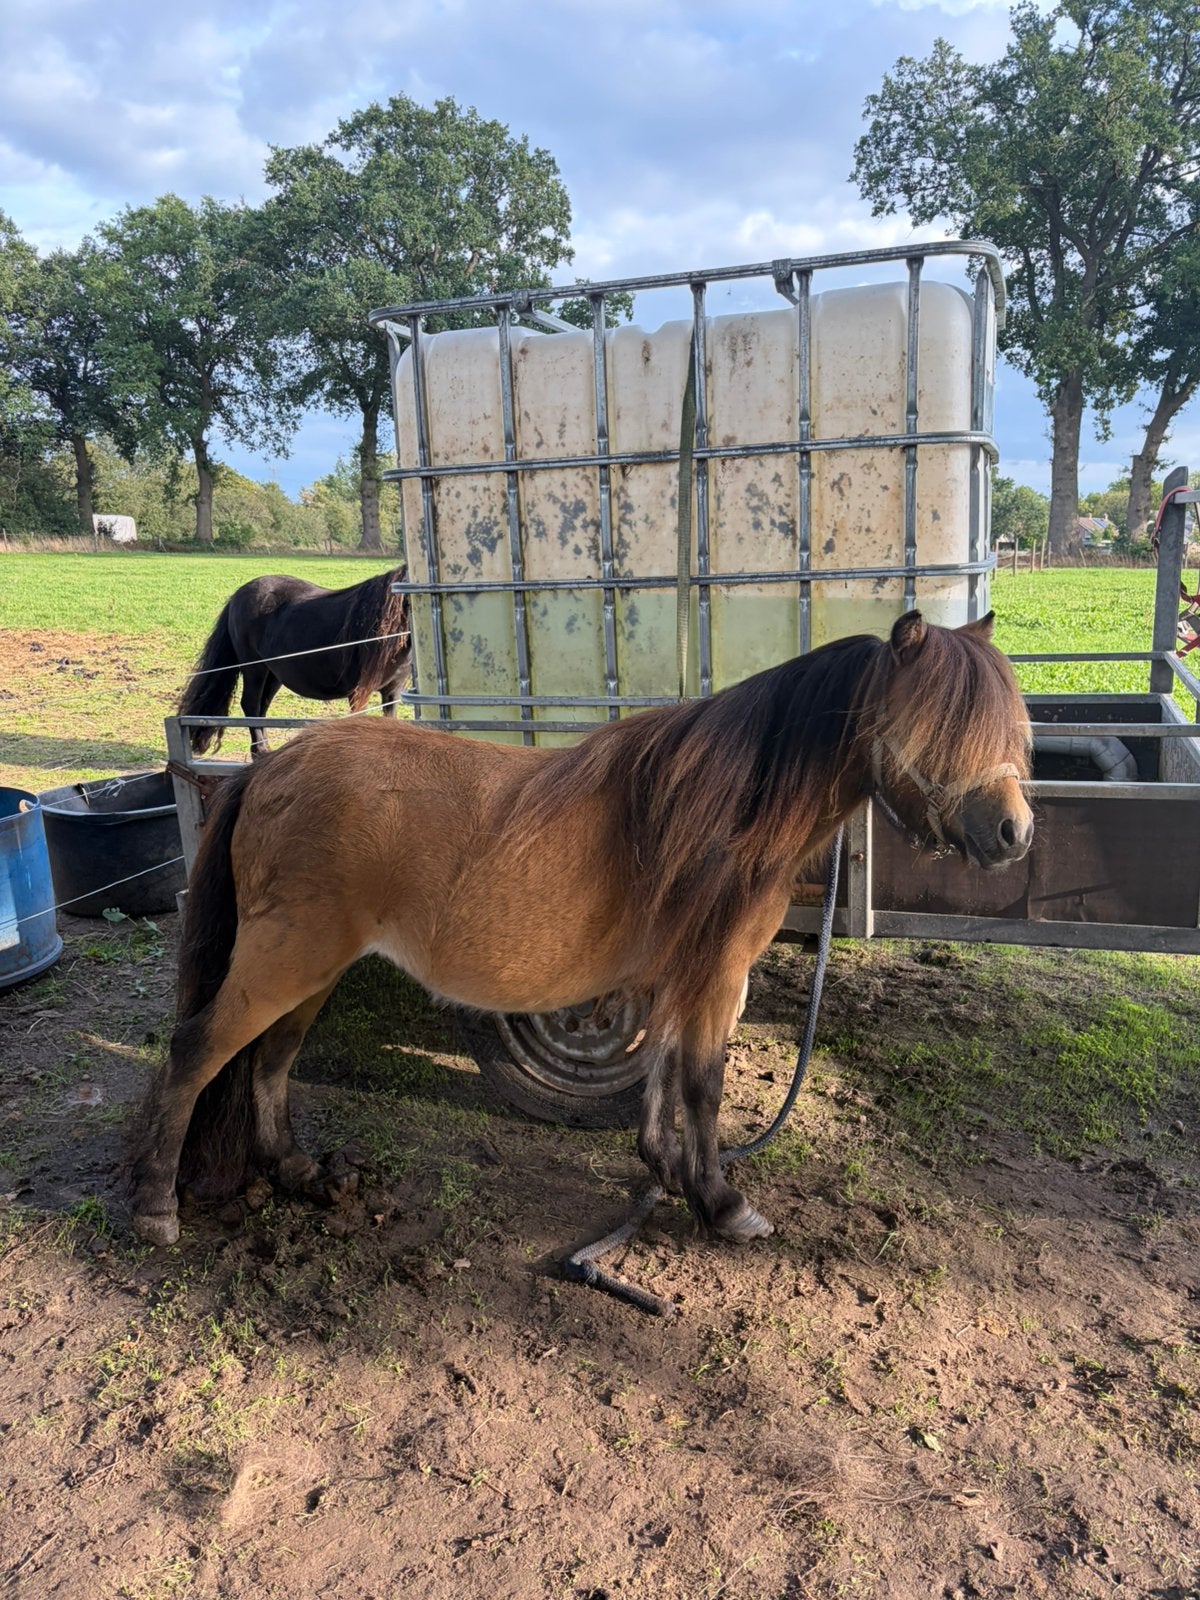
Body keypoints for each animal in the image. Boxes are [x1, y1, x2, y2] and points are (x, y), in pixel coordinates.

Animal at [131, 610, 1033, 1249]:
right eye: (942, 728)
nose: (1015, 834)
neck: (723, 812)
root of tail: (268, 770)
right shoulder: (715, 974)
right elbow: (703, 1084)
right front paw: (721, 1201)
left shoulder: (679, 972)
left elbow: (664, 1072)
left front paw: (665, 1172)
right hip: (284, 959)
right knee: (198, 1051)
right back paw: (155, 1208)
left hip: (312, 971)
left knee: (270, 1060)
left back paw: (297, 1173)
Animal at [178, 565, 412, 755]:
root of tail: (238, 595)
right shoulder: (358, 692)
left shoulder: (391, 692)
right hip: (255, 669)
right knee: (251, 704)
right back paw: (260, 751)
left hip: (273, 675)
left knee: (261, 708)